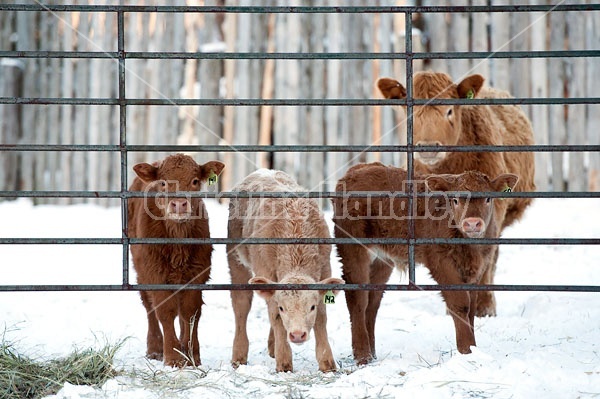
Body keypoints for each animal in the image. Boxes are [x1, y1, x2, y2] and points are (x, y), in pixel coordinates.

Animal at [128, 154, 225, 368]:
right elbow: (165, 311)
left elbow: (190, 313)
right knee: (149, 306)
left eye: (195, 181)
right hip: (140, 270)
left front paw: (191, 355)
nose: (179, 204)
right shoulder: (155, 273)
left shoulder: (197, 273)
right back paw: (155, 348)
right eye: (163, 183)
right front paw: (172, 357)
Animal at [227, 170, 344, 376]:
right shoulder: (265, 271)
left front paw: (327, 362)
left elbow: (321, 317)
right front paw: (284, 362)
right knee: (241, 305)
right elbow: (275, 316)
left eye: (311, 307)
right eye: (283, 308)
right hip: (236, 261)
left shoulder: (324, 269)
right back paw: (239, 355)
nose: (297, 335)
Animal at [332, 162, 516, 366]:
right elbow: (460, 303)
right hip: (353, 249)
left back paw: (372, 354)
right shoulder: (440, 262)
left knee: (372, 302)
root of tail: (359, 168)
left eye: (488, 198)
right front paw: (466, 350)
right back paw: (362, 355)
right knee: (358, 299)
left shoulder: (477, 268)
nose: (472, 223)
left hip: (382, 259)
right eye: (455, 200)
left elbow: (471, 308)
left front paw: (474, 350)